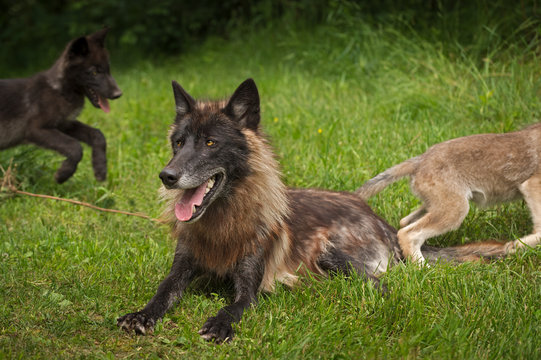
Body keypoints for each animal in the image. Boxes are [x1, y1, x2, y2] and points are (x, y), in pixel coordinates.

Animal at [0, 28, 122, 183]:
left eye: (108, 69)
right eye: (94, 72)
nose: (118, 94)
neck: (59, 90)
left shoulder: (64, 124)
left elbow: (97, 135)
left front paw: (100, 169)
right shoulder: (35, 129)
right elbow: (75, 147)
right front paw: (63, 174)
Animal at [116, 79, 512, 344]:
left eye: (211, 143)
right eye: (178, 143)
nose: (167, 176)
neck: (224, 219)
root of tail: (378, 218)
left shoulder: (249, 286)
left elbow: (235, 306)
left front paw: (220, 323)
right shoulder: (181, 267)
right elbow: (163, 291)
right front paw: (143, 314)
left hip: (333, 253)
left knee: (380, 286)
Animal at [354, 124, 540, 264]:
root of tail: (420, 160)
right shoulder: (532, 184)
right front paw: (516, 245)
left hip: (438, 206)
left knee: (404, 223)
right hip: (456, 210)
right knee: (408, 234)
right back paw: (424, 270)